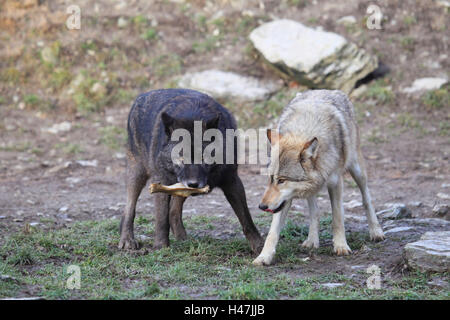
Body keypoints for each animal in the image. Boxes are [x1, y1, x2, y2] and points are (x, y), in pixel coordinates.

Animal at [253, 89, 384, 264]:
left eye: (282, 180)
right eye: (271, 179)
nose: (261, 206)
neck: (304, 129)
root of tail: (327, 90)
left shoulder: (336, 183)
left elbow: (337, 218)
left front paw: (341, 246)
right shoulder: (283, 201)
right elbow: (272, 232)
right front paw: (264, 257)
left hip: (357, 170)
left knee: (366, 198)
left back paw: (376, 231)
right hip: (312, 190)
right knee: (314, 211)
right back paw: (312, 240)